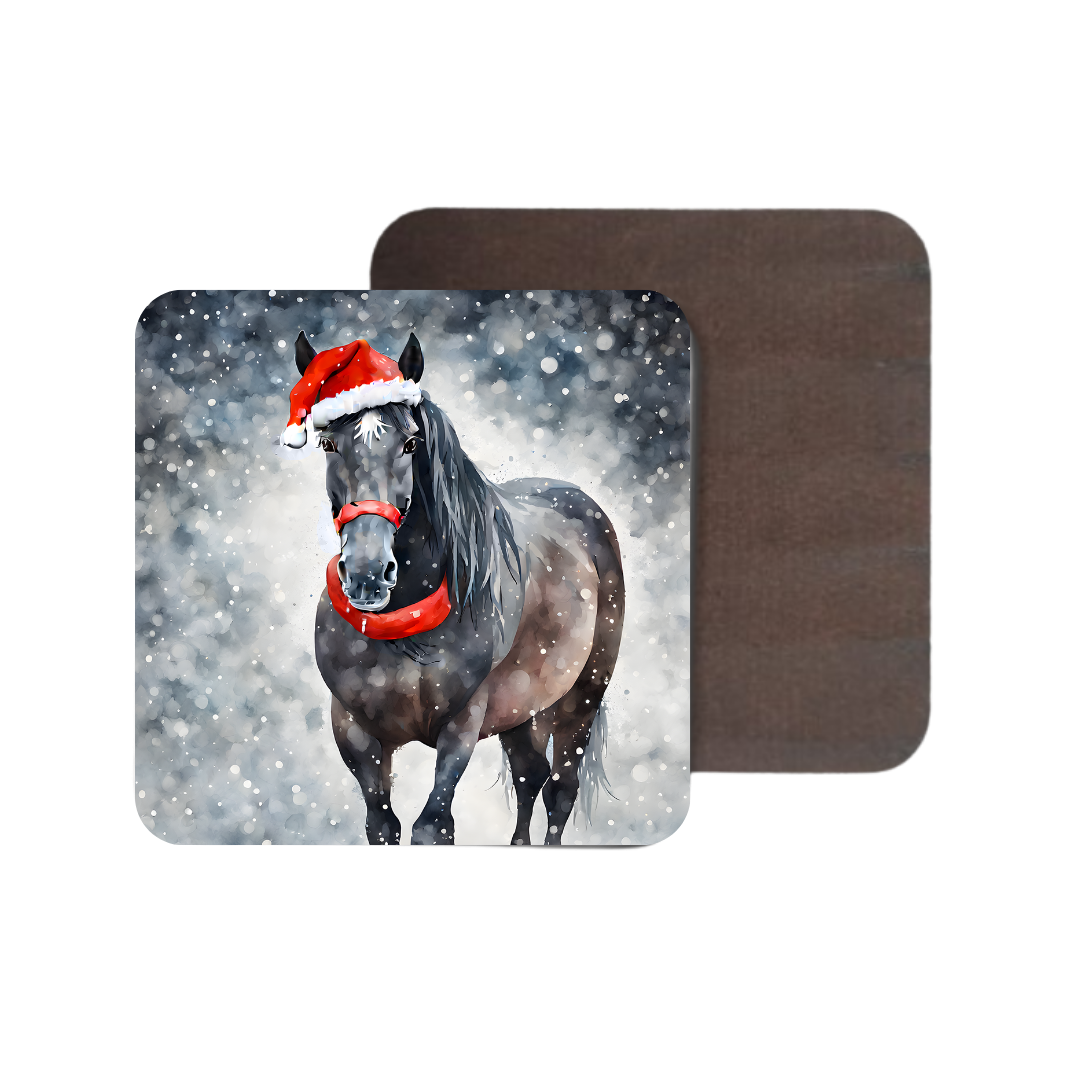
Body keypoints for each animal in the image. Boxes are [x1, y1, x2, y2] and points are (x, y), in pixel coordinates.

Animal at [284, 331, 625, 845]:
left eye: (410, 443)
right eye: (327, 443)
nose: (367, 574)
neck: (403, 628)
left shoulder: (463, 724)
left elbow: (433, 826)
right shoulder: (353, 730)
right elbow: (381, 824)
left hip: (579, 701)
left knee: (560, 790)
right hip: (523, 708)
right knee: (529, 776)